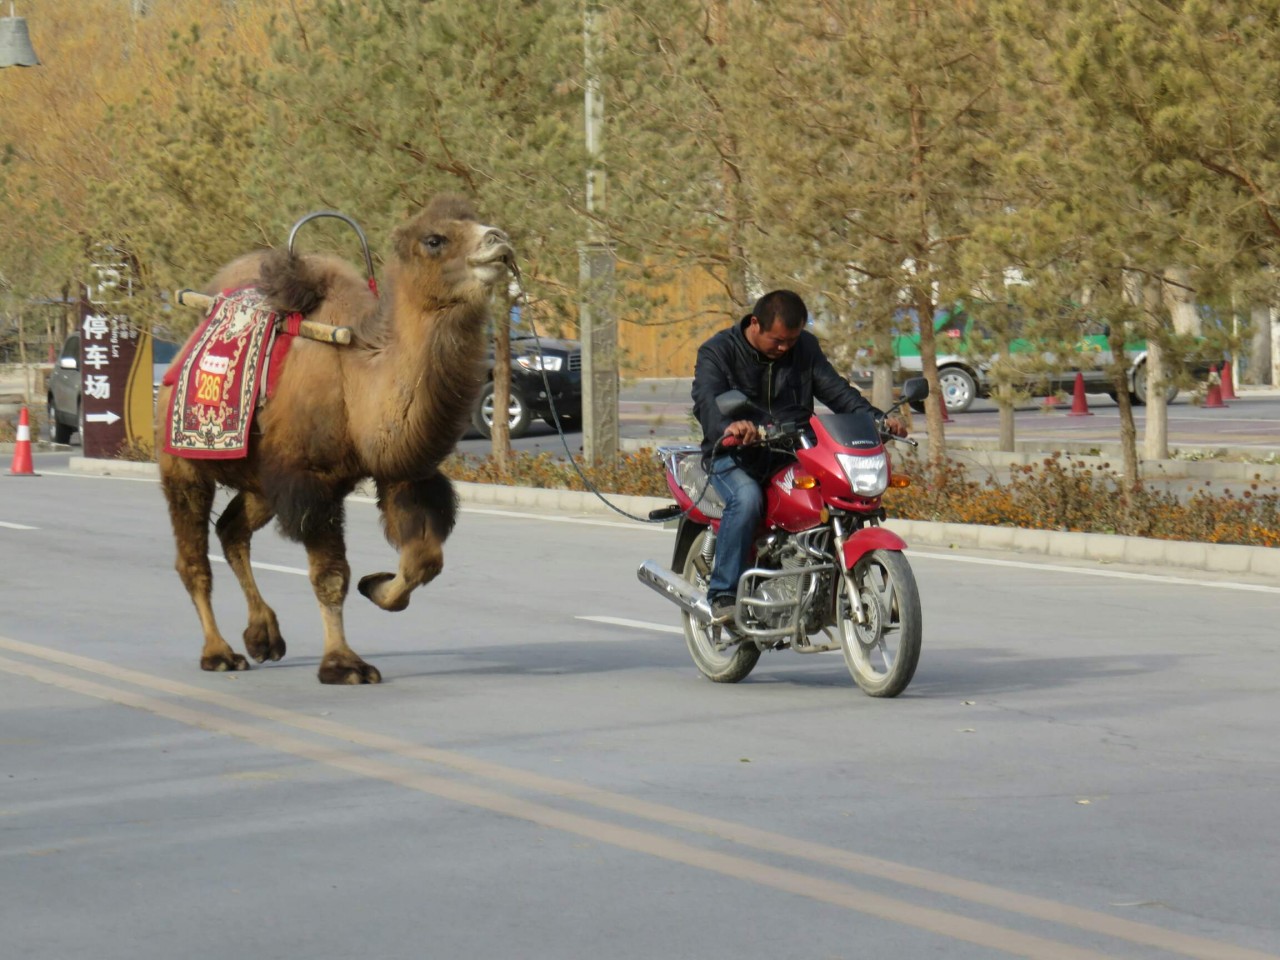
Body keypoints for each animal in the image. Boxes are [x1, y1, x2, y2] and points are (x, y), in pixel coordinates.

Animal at [149, 197, 509, 686]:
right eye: (434, 240)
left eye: (479, 220)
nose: (499, 240)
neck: (357, 378)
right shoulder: (311, 481)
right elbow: (331, 575)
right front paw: (344, 664)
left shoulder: (398, 473)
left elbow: (424, 559)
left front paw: (376, 587)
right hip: (182, 463)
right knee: (193, 560)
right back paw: (219, 653)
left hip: (261, 481)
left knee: (231, 530)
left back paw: (263, 636)